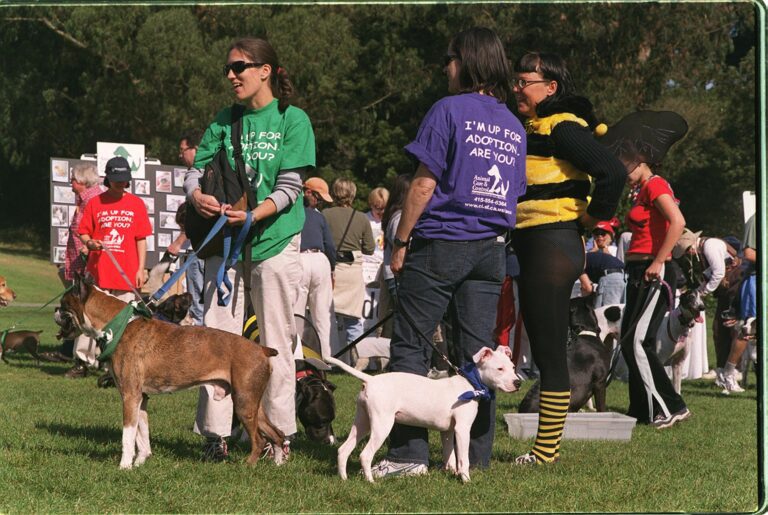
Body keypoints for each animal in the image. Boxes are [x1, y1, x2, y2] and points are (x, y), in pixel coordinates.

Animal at [54, 276, 284, 470]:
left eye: (64, 304)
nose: (55, 310)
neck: (117, 325)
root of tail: (261, 349)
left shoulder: (130, 396)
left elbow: (128, 435)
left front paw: (124, 466)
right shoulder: (141, 398)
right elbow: (142, 434)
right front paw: (141, 461)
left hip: (243, 403)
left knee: (260, 440)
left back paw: (247, 466)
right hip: (253, 404)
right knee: (278, 434)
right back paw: (278, 464)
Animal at [328, 346, 520, 484]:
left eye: (513, 367)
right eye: (500, 369)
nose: (518, 382)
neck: (471, 383)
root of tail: (371, 379)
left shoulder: (448, 431)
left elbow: (450, 455)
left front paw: (452, 473)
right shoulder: (462, 429)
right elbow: (463, 458)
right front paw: (465, 479)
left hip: (362, 422)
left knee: (343, 450)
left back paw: (343, 479)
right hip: (382, 424)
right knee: (365, 454)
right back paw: (370, 482)